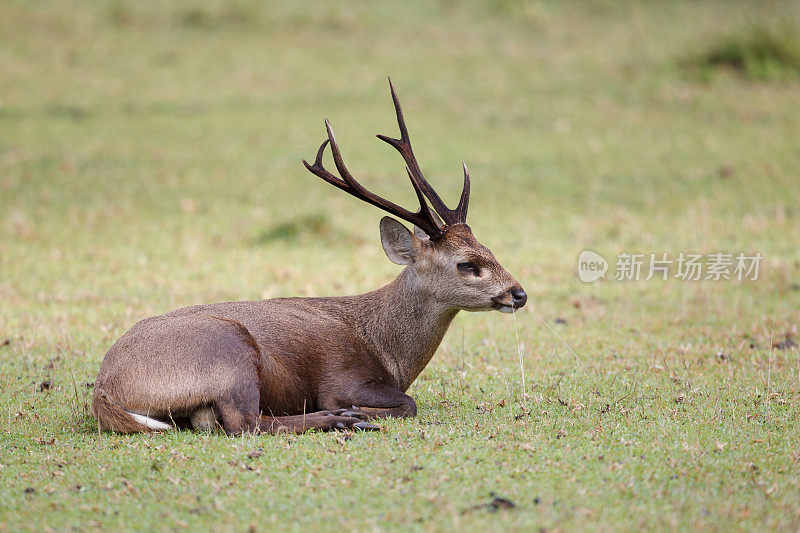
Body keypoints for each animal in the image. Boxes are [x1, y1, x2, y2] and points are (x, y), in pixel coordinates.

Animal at [90, 80, 528, 436]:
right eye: (467, 264)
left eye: (490, 250)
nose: (519, 294)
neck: (388, 350)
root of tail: (105, 391)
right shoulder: (342, 378)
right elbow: (408, 403)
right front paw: (353, 411)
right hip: (229, 353)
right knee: (244, 422)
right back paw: (342, 420)